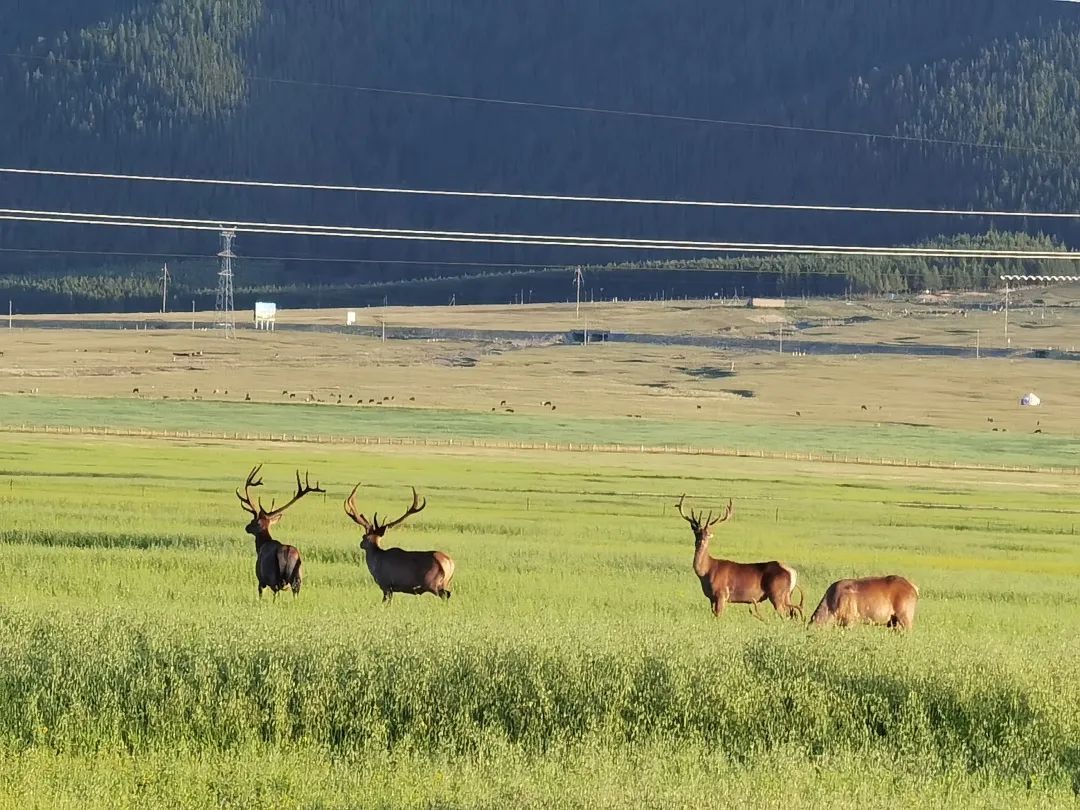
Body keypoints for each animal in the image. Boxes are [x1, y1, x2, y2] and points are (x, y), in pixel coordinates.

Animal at [235, 465, 324, 599]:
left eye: (253, 521)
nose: (247, 527)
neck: (261, 545)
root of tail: (288, 552)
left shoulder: (260, 578)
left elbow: (260, 594)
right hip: (298, 577)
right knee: (295, 593)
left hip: (273, 575)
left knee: (276, 594)